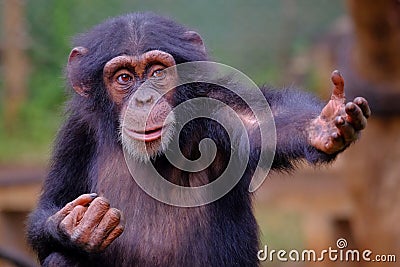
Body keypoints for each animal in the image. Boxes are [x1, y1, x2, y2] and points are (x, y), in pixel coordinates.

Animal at [26, 12, 370, 267]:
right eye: (124, 77)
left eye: (156, 73)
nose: (144, 99)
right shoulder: (75, 133)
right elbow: (51, 206)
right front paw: (76, 225)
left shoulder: (220, 105)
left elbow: (269, 120)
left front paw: (323, 125)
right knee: (61, 258)